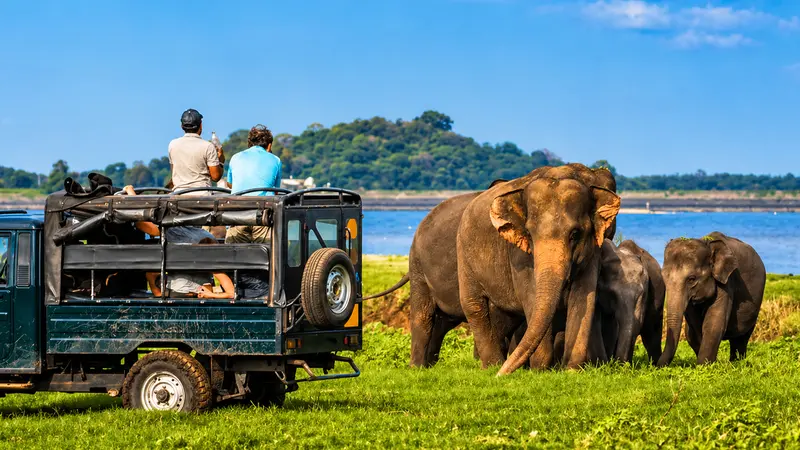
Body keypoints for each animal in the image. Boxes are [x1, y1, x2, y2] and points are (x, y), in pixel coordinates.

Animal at [457, 164, 621, 375]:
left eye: (575, 234)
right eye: (529, 233)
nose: (501, 376)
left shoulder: (593, 250)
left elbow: (584, 295)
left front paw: (571, 371)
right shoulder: (518, 254)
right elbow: (531, 295)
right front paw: (541, 370)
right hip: (463, 254)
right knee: (474, 305)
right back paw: (492, 366)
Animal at [657, 232, 765, 367]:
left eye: (691, 279)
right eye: (663, 277)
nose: (656, 365)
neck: (707, 243)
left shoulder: (727, 282)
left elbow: (714, 324)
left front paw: (704, 366)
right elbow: (695, 329)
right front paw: (707, 365)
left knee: (741, 339)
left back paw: (736, 364)